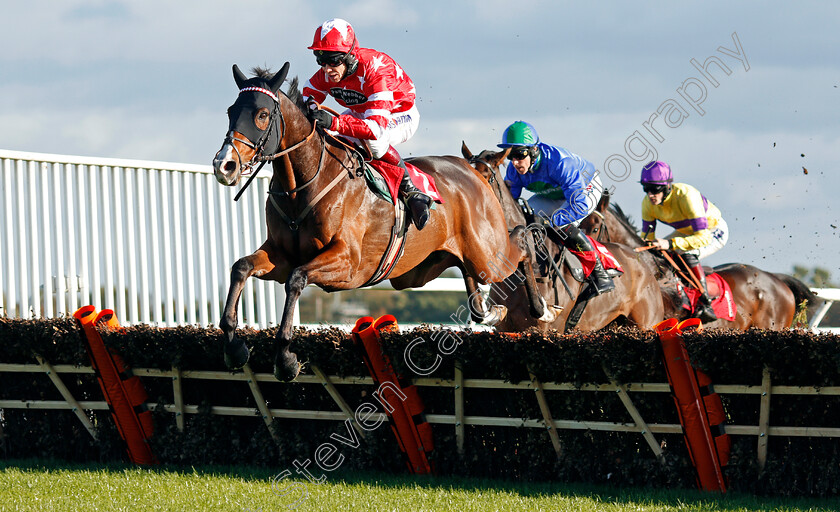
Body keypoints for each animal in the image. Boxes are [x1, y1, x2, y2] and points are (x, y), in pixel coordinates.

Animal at [213, 63, 548, 380]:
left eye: (262, 114)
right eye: (230, 111)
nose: (224, 165)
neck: (305, 183)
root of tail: (471, 169)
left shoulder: (347, 262)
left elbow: (296, 279)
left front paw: (285, 359)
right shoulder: (281, 255)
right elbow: (241, 267)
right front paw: (233, 347)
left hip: (486, 254)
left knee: (520, 241)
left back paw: (539, 305)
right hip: (422, 269)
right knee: (472, 279)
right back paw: (489, 311)